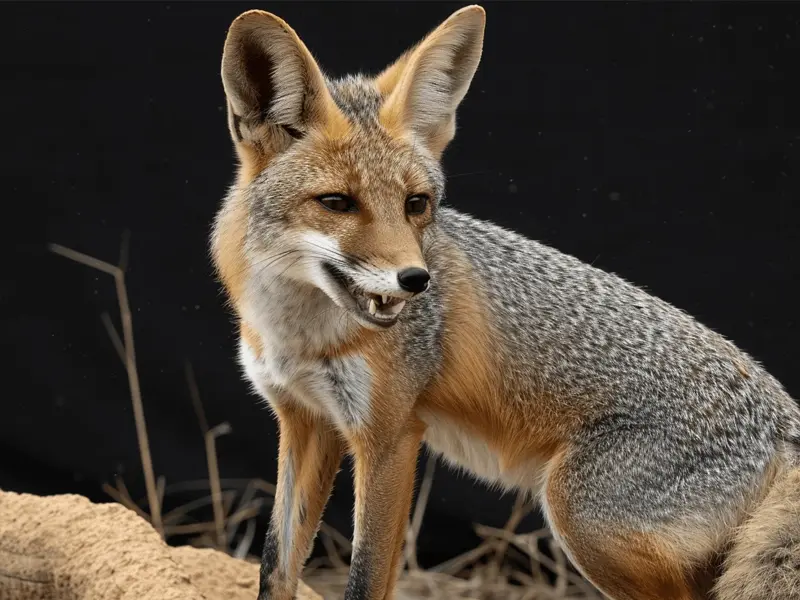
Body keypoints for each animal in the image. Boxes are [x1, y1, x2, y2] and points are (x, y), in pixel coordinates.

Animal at [210, 5, 800, 600]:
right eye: (336, 203)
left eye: (415, 204)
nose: (416, 280)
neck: (301, 336)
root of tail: (784, 420)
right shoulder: (306, 422)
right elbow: (275, 565)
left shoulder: (390, 439)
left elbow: (364, 579)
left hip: (582, 517)